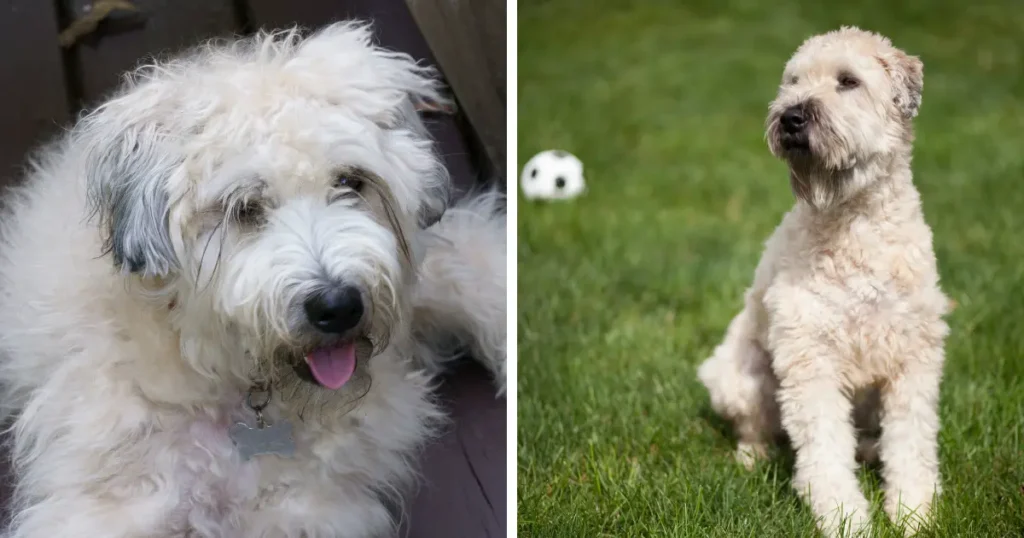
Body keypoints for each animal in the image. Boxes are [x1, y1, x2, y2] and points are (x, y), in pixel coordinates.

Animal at [700, 26, 946, 536]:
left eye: (848, 81)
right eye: (793, 81)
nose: (790, 117)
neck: (856, 226)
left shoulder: (913, 359)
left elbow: (911, 444)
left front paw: (914, 513)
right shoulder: (810, 360)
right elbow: (825, 453)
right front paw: (845, 519)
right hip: (738, 377)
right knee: (756, 427)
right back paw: (751, 458)